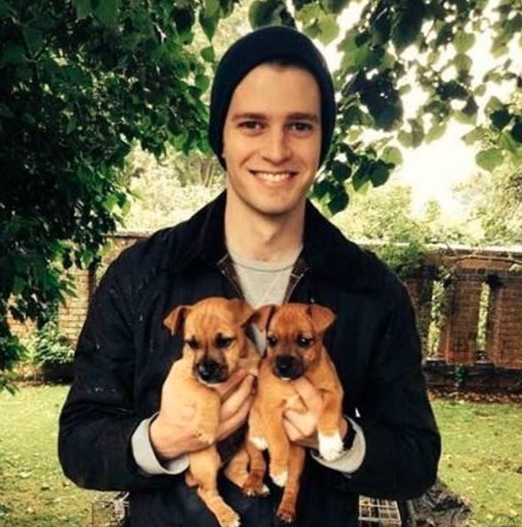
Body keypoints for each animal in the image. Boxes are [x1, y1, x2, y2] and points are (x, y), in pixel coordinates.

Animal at [164, 300, 264, 527]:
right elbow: (206, 391)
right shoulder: (184, 378)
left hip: (242, 452)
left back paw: (254, 485)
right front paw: (207, 427)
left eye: (225, 341)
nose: (205, 373)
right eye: (191, 344)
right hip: (206, 461)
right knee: (206, 492)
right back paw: (227, 516)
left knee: (231, 472)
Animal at [246, 304, 344, 520]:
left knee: (293, 484)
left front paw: (330, 444)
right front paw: (279, 470)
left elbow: (329, 414)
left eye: (303, 341)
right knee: (258, 462)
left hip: (299, 459)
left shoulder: (334, 392)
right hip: (250, 443)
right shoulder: (271, 407)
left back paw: (287, 508)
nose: (282, 365)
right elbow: (278, 440)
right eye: (272, 340)